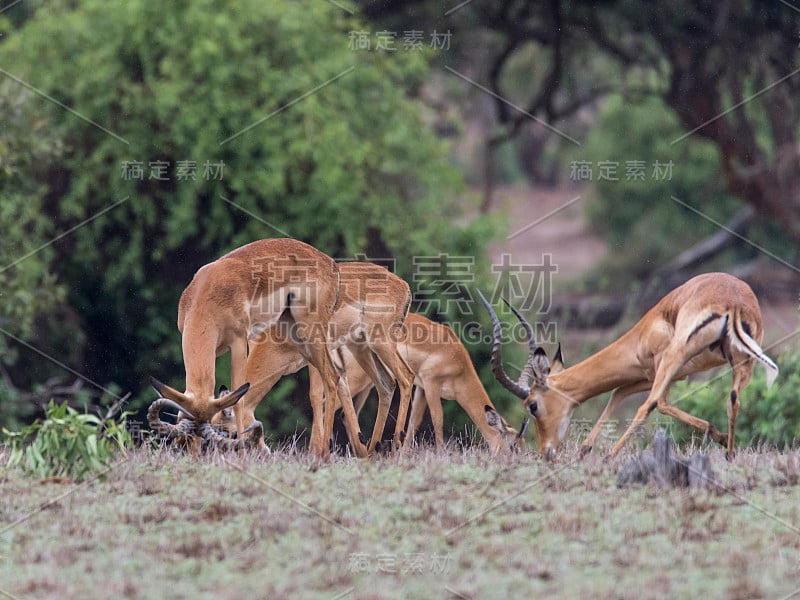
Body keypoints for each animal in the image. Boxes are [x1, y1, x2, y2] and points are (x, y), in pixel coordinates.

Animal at [148, 239, 368, 460]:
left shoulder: (238, 342)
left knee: (331, 378)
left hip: (311, 333)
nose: (192, 455)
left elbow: (239, 400)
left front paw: (243, 455)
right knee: (335, 379)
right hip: (296, 334)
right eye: (186, 433)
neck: (207, 297)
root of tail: (329, 262)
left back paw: (323, 454)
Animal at [238, 262, 416, 454]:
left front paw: (316, 450)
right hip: (364, 350)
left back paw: (397, 446)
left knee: (406, 377)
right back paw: (372, 450)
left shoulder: (313, 360)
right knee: (387, 384)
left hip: (380, 345)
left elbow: (316, 396)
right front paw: (358, 449)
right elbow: (342, 392)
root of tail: (404, 286)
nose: (264, 452)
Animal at [310, 312, 528, 452]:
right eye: (513, 447)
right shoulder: (431, 384)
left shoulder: (421, 389)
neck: (457, 360)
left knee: (343, 414)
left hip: (366, 385)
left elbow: (414, 422)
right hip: (356, 380)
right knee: (325, 406)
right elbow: (438, 420)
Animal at [478, 274, 780, 462]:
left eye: (532, 405)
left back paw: (611, 455)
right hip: (742, 362)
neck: (643, 332)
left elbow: (656, 403)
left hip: (678, 354)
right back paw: (729, 453)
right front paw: (584, 450)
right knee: (733, 399)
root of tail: (734, 304)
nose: (546, 452)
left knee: (649, 405)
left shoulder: (663, 367)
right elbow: (617, 393)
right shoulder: (650, 375)